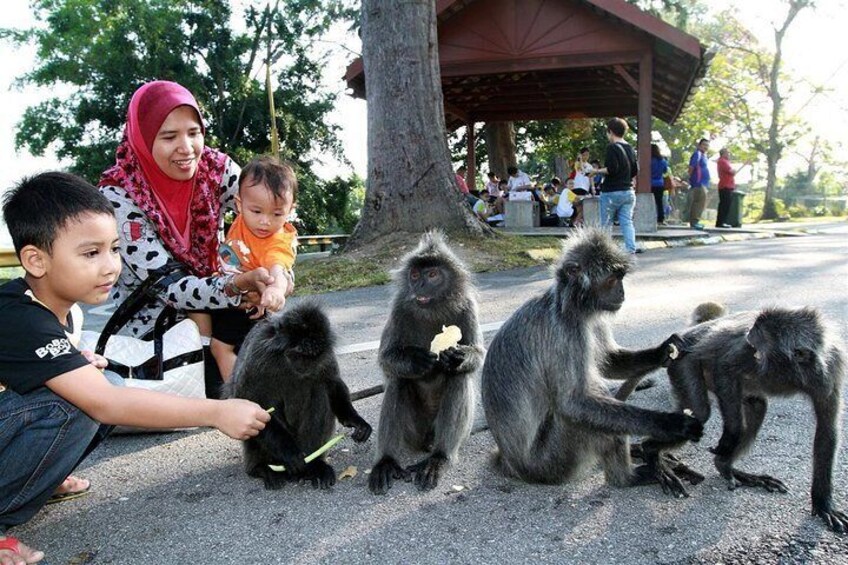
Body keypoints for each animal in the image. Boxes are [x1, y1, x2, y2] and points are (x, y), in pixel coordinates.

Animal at [224, 300, 372, 490]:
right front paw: (290, 454)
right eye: (300, 354)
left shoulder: (326, 355)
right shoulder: (258, 352)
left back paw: (314, 466)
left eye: (313, 355)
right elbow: (247, 401)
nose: (305, 365)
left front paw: (356, 421)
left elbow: (332, 383)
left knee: (320, 389)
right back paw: (263, 468)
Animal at [368, 231, 480, 492]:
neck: (433, 311)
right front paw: (416, 361)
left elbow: (478, 356)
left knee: (458, 376)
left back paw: (439, 458)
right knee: (398, 380)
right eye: (415, 275)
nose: (418, 285)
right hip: (413, 431)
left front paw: (458, 356)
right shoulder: (398, 309)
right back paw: (386, 461)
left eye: (432, 275)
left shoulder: (469, 307)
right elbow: (386, 360)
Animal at [480, 228, 704, 494]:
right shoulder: (565, 332)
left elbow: (609, 362)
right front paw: (670, 423)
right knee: (580, 411)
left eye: (621, 277)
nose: (623, 293)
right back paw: (627, 477)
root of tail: (512, 464)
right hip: (551, 462)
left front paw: (664, 351)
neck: (569, 306)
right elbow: (573, 404)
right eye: (612, 280)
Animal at [644, 304, 844, 528]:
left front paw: (823, 505)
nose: (748, 333)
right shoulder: (743, 353)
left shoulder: (830, 370)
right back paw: (650, 452)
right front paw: (730, 435)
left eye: (759, 331)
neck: (792, 371)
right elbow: (724, 367)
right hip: (682, 362)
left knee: (757, 407)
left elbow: (827, 432)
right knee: (700, 412)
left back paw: (726, 467)